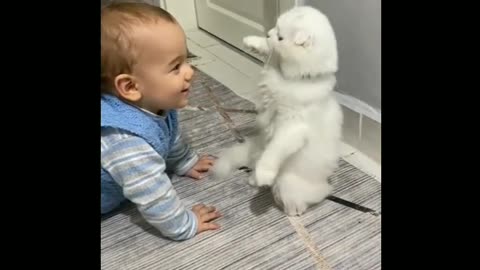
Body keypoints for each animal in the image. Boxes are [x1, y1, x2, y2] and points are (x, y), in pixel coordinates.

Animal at [212, 5, 344, 217]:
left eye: (281, 37)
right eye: (275, 27)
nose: (268, 33)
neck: (295, 77)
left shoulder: (291, 127)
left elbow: (274, 150)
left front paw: (264, 174)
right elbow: (269, 51)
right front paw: (252, 40)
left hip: (289, 182)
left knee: (301, 195)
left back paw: (291, 208)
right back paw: (253, 179)